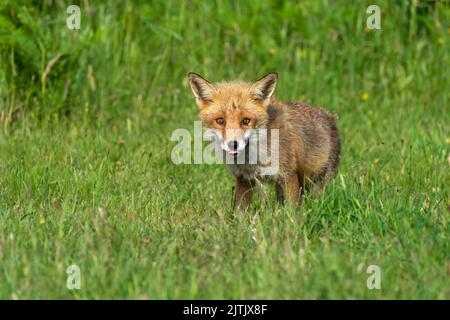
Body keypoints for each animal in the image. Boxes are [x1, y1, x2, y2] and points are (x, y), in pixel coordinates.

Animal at [187, 72, 342, 210]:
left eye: (246, 121)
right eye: (220, 121)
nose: (233, 144)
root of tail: (330, 117)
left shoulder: (288, 175)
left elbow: (293, 213)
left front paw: (293, 225)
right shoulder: (244, 179)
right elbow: (239, 213)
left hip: (317, 183)